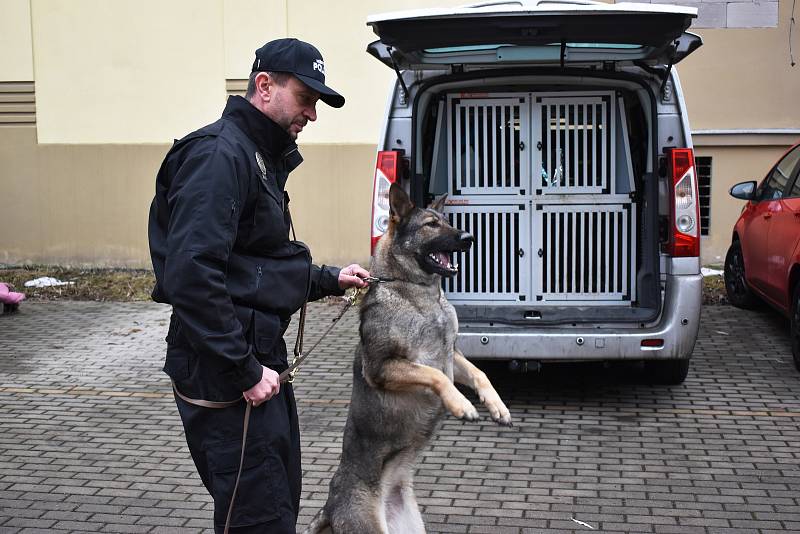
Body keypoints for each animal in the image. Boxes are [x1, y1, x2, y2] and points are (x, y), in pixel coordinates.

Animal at [306, 185, 512, 534]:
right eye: (431, 225)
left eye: (447, 221)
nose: (469, 237)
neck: (419, 293)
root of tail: (330, 507)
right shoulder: (385, 367)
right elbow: (436, 376)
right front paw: (461, 404)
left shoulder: (453, 354)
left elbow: (480, 373)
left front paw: (497, 406)